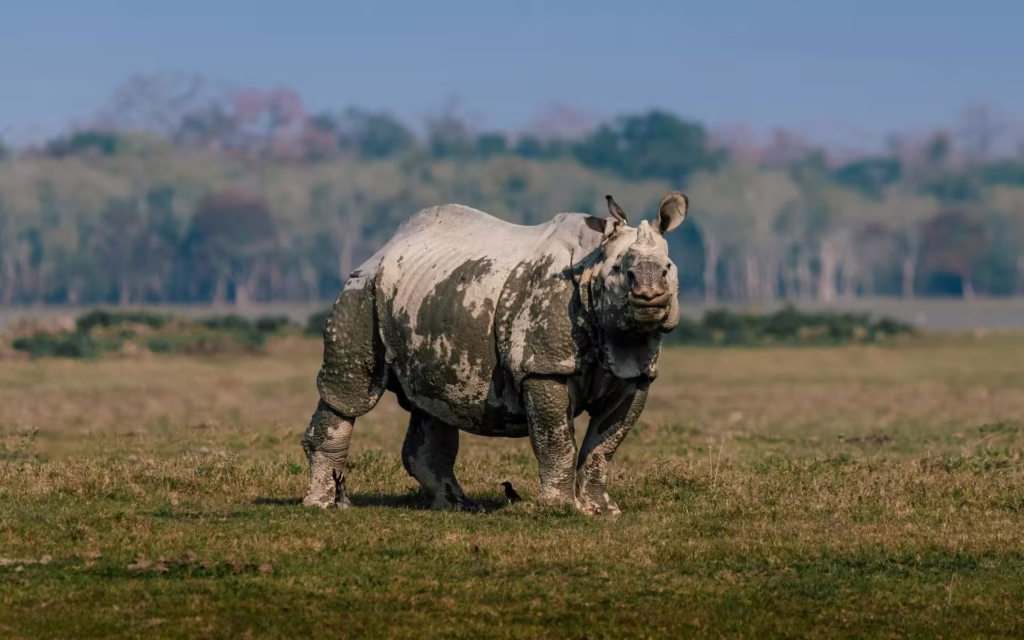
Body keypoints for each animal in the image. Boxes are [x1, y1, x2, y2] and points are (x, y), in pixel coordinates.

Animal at [301, 190, 689, 515]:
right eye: (622, 272)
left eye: (669, 269)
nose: (650, 293)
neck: (594, 263)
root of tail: (384, 248)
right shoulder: (542, 367)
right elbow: (556, 440)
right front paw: (561, 510)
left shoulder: (636, 374)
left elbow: (604, 445)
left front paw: (602, 511)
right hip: (360, 289)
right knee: (350, 397)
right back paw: (325, 506)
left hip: (428, 296)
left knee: (432, 405)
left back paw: (458, 506)